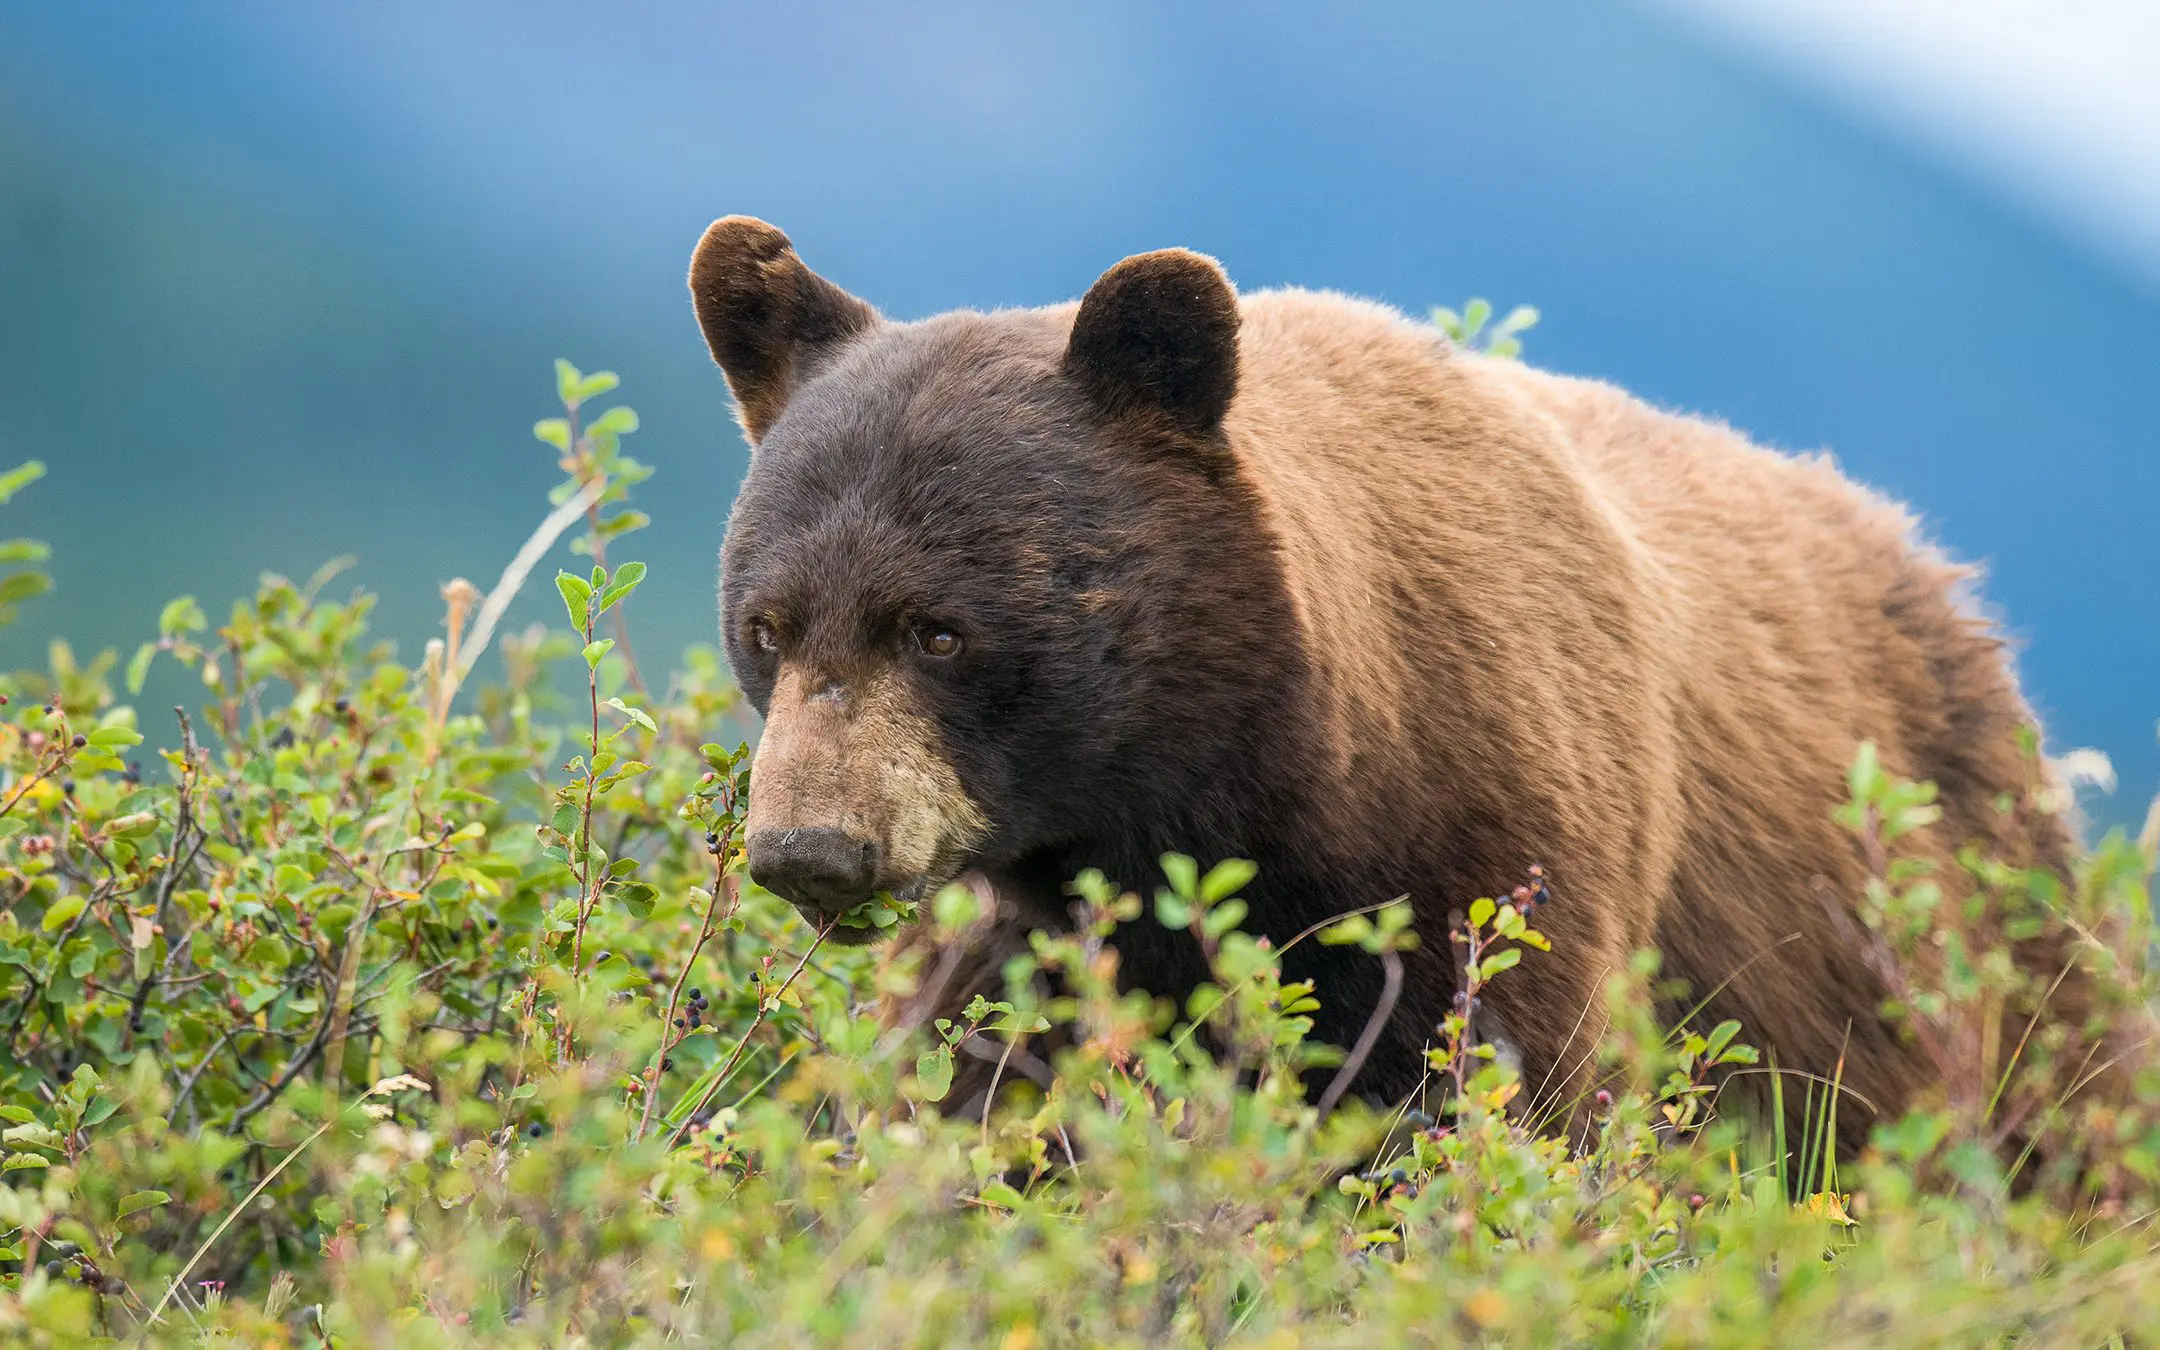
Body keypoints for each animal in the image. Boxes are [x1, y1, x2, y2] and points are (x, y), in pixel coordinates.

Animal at [686, 212, 2090, 1149]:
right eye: (770, 625)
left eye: (939, 632)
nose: (815, 847)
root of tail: (1947, 581)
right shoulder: (1038, 922)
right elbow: (979, 1088)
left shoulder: (1496, 843)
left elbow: (1490, 1095)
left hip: (1963, 943)